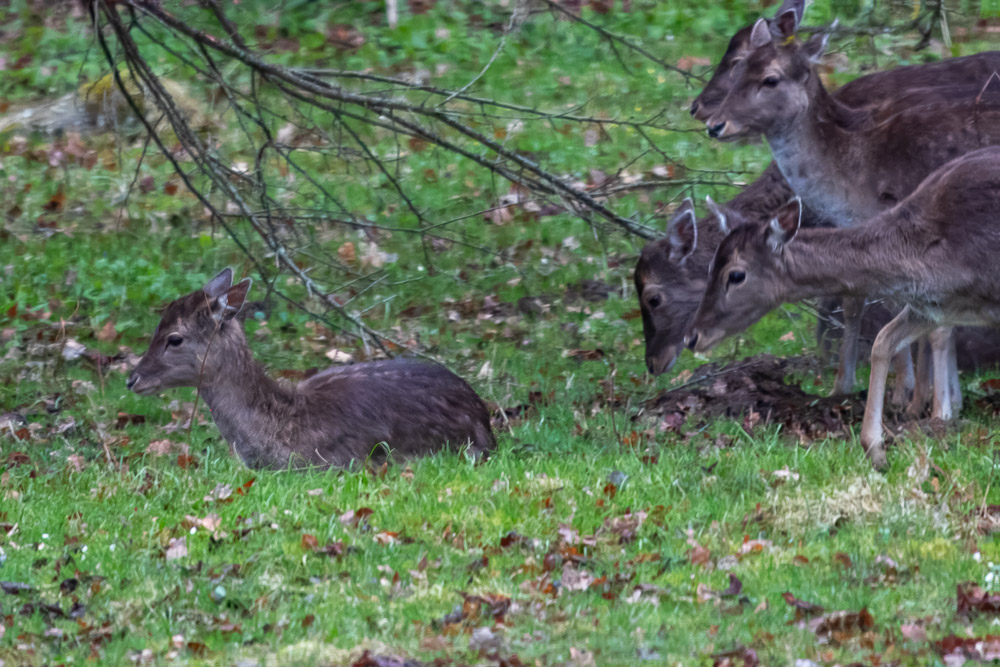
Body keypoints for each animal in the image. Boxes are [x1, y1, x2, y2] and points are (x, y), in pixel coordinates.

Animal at [692, 147, 1000, 470]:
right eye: (711, 266)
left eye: (736, 275)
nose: (693, 336)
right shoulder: (935, 306)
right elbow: (883, 340)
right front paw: (875, 448)